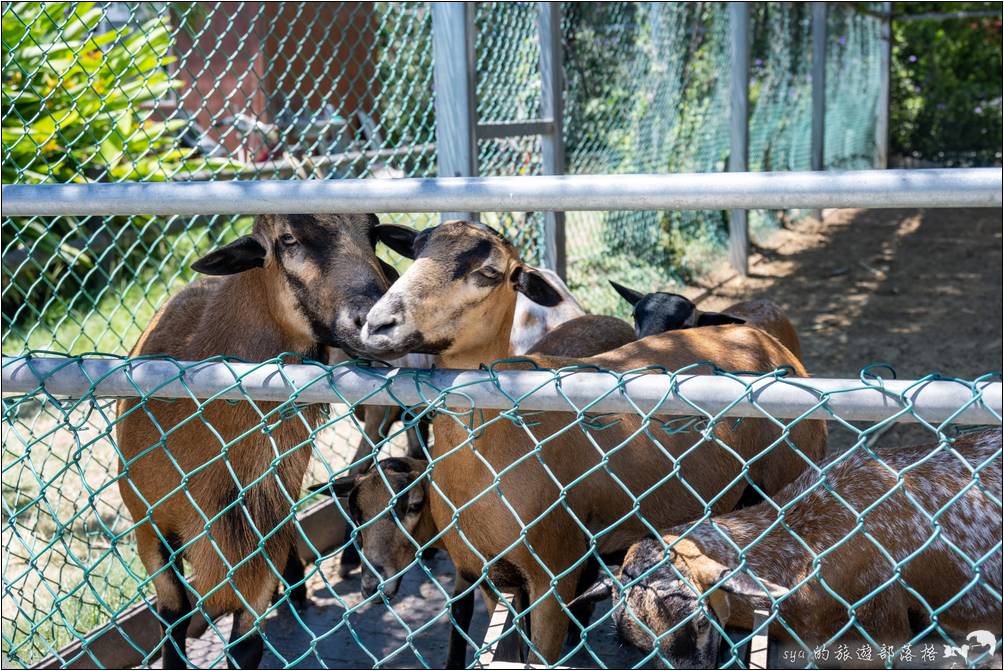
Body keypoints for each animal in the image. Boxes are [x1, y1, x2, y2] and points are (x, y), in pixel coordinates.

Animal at [116, 213, 395, 666]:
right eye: (287, 239)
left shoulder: (260, 534)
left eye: (373, 231)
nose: (375, 320)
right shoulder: (149, 530)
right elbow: (173, 615)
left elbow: (245, 646)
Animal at [357, 220, 827, 666]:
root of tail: (764, 342)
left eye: (490, 272)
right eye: (415, 251)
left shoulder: (555, 577)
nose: (378, 324)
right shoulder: (489, 578)